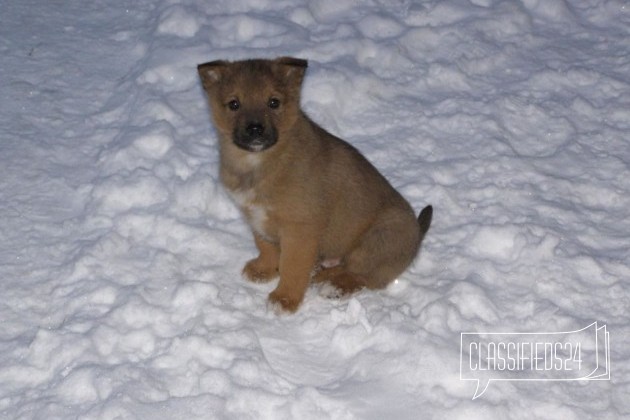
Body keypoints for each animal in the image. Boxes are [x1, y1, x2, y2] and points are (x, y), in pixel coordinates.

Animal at [199, 56, 434, 312]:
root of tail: (418, 233)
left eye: (274, 102)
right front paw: (264, 270)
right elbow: (266, 247)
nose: (255, 129)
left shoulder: (300, 229)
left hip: (380, 239)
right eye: (234, 104)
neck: (260, 163)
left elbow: (292, 266)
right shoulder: (256, 218)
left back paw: (332, 285)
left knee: (363, 276)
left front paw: (285, 299)